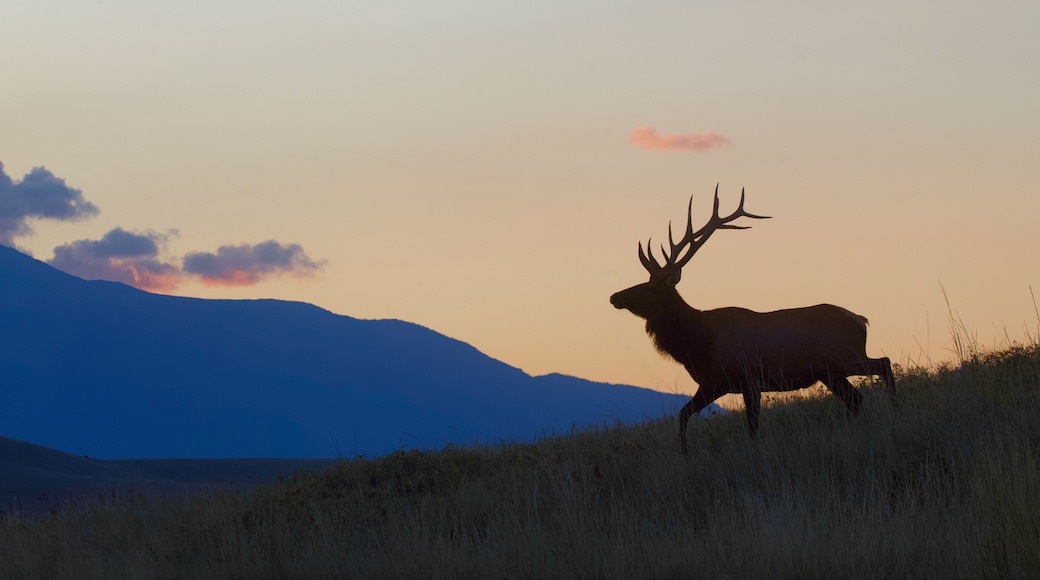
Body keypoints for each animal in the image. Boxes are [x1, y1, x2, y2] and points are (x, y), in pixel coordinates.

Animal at [609, 185, 896, 453]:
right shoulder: (713, 384)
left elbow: (752, 424)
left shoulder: (749, 378)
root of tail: (861, 320)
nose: (614, 296)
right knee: (855, 398)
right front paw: (683, 454)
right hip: (830, 372)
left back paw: (895, 410)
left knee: (883, 363)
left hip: (845, 357)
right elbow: (683, 414)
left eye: (649, 287)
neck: (700, 344)